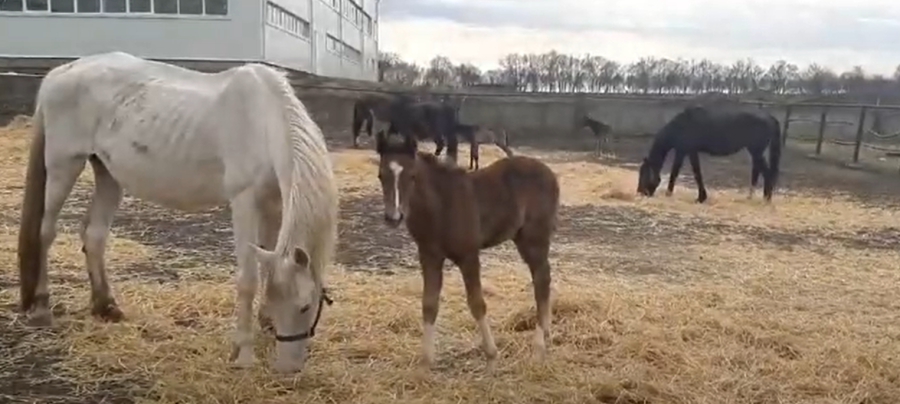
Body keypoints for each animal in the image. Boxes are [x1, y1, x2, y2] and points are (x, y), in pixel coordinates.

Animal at [17, 52, 342, 374]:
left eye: (308, 305)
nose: (289, 368)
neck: (264, 123)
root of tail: (61, 72)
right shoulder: (244, 202)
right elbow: (248, 278)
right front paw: (244, 353)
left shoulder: (273, 204)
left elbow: (266, 267)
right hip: (63, 165)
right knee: (46, 232)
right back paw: (42, 309)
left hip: (108, 173)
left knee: (94, 235)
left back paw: (106, 307)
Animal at [370, 130, 556, 370]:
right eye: (381, 175)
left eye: (411, 176)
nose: (393, 217)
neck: (441, 206)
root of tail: (549, 172)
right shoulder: (429, 256)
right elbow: (429, 304)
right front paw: (426, 361)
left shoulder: (468, 256)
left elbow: (477, 303)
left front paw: (491, 355)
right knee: (544, 278)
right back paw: (546, 333)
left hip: (534, 240)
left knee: (541, 281)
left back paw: (539, 347)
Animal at [632, 105, 780, 204]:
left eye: (644, 174)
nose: (640, 192)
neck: (681, 125)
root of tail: (770, 117)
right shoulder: (686, 151)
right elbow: (690, 172)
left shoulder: (686, 151)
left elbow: (686, 173)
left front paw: (698, 198)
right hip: (755, 152)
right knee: (759, 172)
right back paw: (753, 197)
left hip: (756, 151)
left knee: (767, 173)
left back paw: (766, 200)